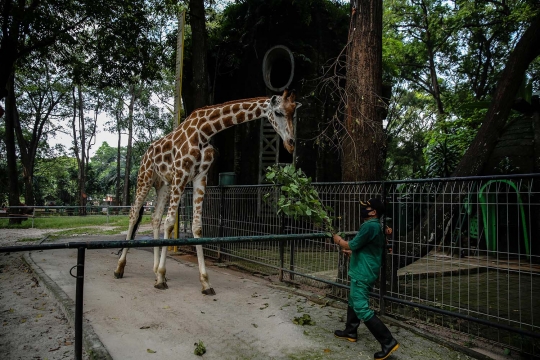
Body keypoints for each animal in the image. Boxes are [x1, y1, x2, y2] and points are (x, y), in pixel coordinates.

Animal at [113, 89, 302, 292]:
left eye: (293, 113)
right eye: (278, 113)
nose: (291, 143)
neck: (204, 131)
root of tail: (146, 153)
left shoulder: (200, 176)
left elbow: (197, 226)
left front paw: (205, 281)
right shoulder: (181, 174)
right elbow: (170, 222)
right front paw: (162, 278)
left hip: (163, 185)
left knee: (155, 218)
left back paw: (154, 269)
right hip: (145, 177)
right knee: (134, 214)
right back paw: (120, 268)